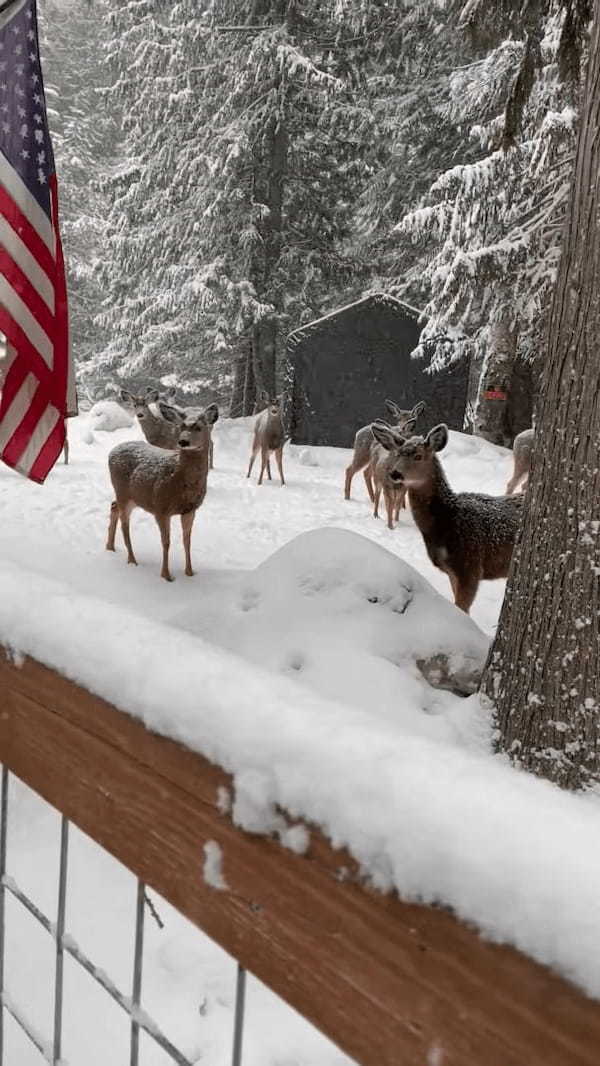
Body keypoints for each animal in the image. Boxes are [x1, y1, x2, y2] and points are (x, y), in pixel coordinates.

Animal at [105, 400, 218, 584]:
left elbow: (187, 541)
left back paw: (110, 547)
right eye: (181, 426)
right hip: (122, 490)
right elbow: (166, 542)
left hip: (134, 496)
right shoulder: (161, 508)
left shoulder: (190, 509)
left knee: (113, 506)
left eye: (199, 427)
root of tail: (112, 452)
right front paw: (166, 575)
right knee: (124, 524)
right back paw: (132, 560)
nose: (183, 441)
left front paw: (190, 572)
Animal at [373, 420, 524, 614]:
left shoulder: (471, 567)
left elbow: (463, 609)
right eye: (398, 454)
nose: (395, 474)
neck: (449, 519)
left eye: (418, 456)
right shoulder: (452, 572)